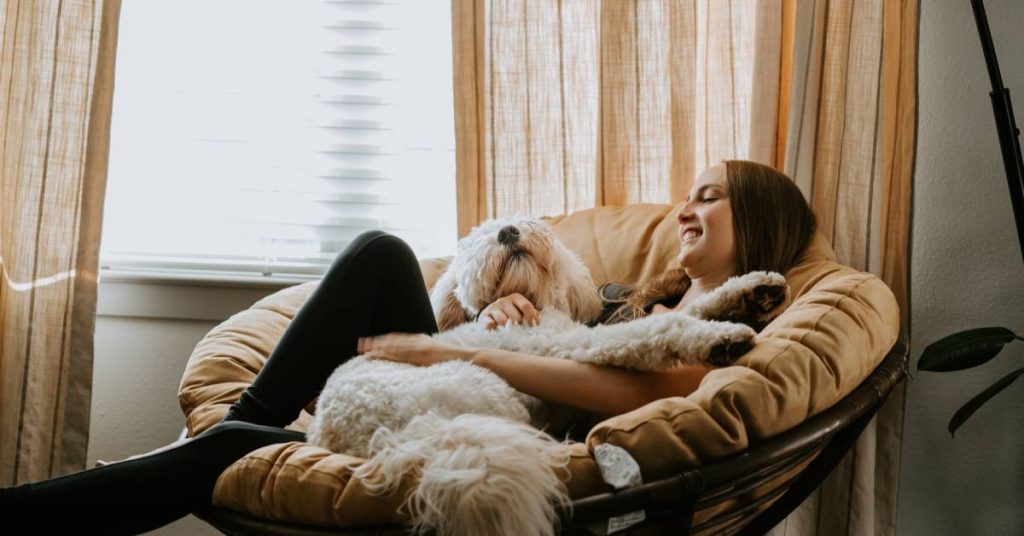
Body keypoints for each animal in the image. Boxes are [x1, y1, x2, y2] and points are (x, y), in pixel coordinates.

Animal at [307, 216, 786, 536]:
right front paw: (720, 337)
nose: (506, 232)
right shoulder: (574, 347)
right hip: (490, 395)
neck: (528, 302)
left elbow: (695, 305)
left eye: (525, 222)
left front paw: (754, 289)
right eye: (479, 239)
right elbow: (657, 328)